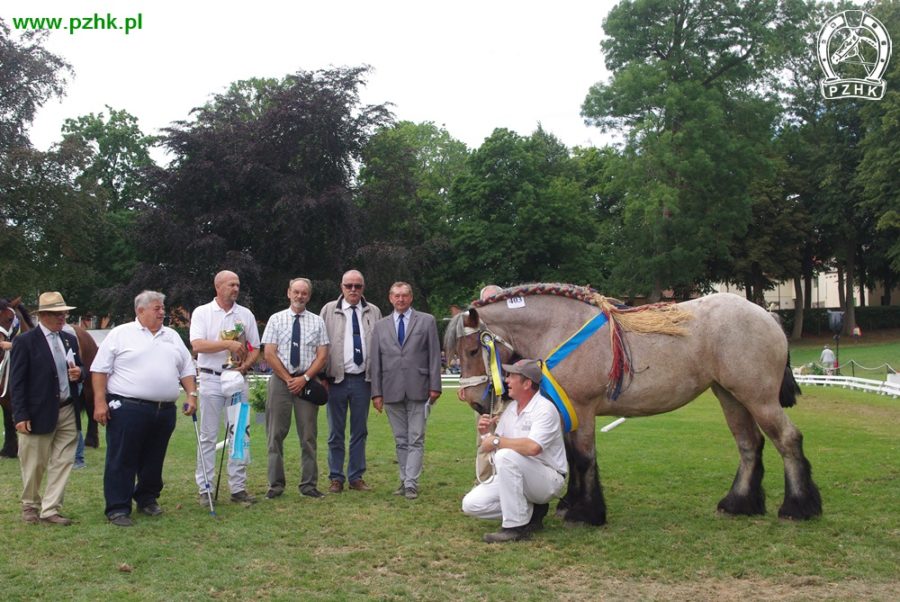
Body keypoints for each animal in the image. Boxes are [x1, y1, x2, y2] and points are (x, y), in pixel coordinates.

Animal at [444, 284, 824, 524]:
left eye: (474, 350)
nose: (473, 400)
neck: (561, 326)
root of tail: (766, 316)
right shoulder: (567, 411)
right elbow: (572, 457)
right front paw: (571, 506)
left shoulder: (583, 409)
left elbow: (584, 458)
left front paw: (586, 513)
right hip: (730, 396)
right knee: (749, 445)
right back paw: (738, 504)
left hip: (758, 398)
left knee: (787, 440)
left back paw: (798, 507)